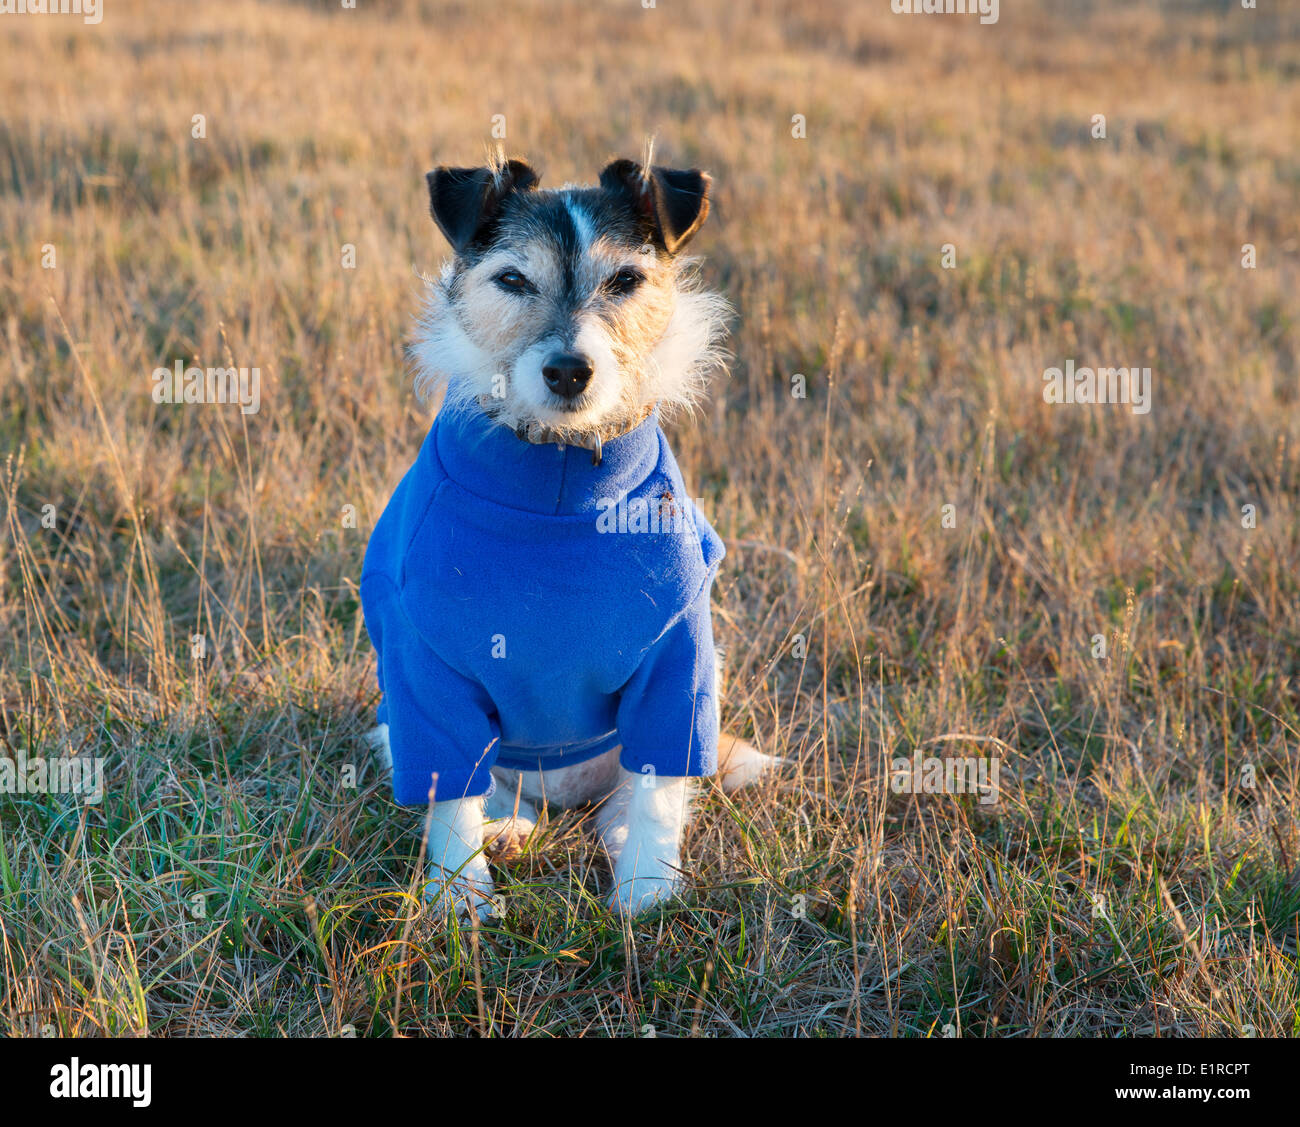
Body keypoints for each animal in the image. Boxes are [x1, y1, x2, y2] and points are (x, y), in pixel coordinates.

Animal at [361, 150, 774, 920]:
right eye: (512, 279)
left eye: (626, 281)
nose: (568, 371)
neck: (557, 478)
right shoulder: (423, 668)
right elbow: (449, 797)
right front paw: (460, 895)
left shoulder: (679, 657)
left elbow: (658, 789)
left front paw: (647, 892)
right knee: (492, 791)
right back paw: (508, 830)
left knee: (634, 794)